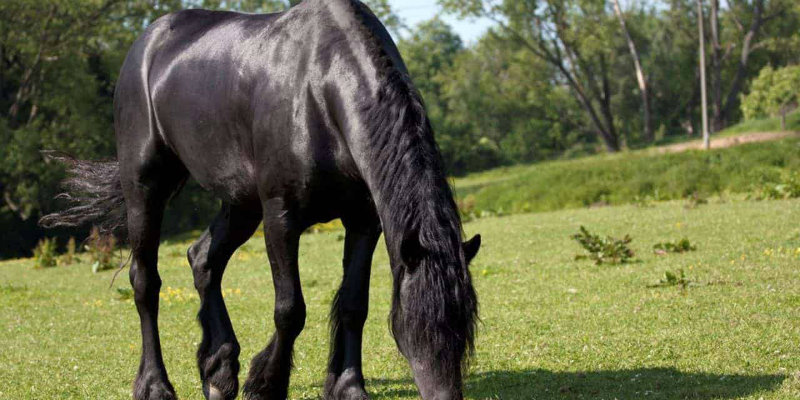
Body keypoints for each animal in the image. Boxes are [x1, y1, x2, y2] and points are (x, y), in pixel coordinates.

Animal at [40, 0, 478, 400]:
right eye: (415, 327)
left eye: (464, 324)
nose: (444, 395)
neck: (318, 91)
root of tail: (147, 42)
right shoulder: (281, 217)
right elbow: (290, 310)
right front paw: (266, 383)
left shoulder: (363, 222)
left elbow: (354, 304)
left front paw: (348, 387)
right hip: (145, 188)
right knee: (146, 282)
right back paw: (155, 385)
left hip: (239, 203)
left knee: (203, 260)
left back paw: (219, 371)